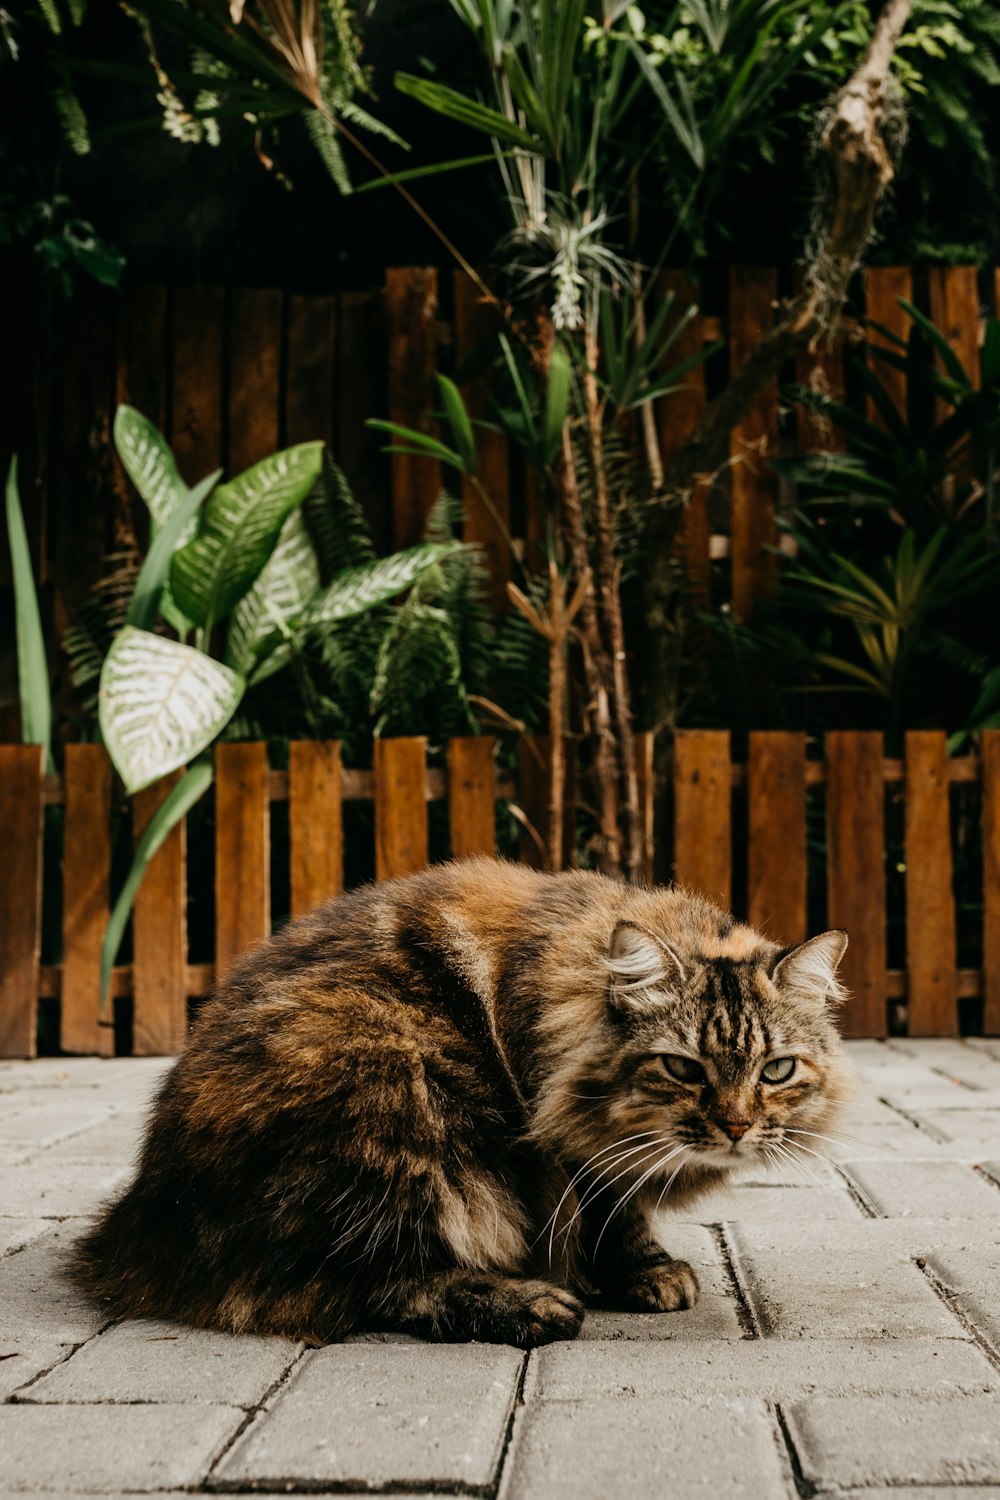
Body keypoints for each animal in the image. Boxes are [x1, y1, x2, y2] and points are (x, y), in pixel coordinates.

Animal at [72, 858, 851, 1350]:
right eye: (682, 1068)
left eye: (777, 1070)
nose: (737, 1126)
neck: (562, 1004)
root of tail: (137, 1225)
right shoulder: (568, 1146)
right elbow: (610, 1209)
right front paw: (639, 1270)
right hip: (397, 1087)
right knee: (356, 1284)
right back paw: (531, 1305)